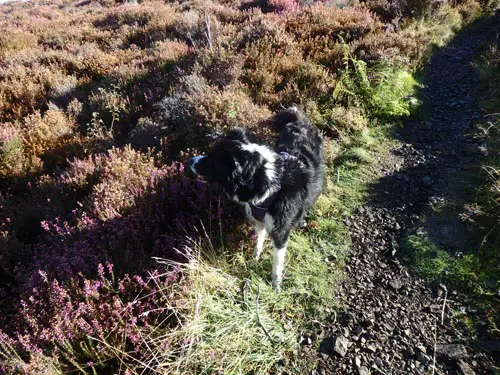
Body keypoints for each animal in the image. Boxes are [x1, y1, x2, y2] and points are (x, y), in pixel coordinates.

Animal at [188, 107, 324, 290]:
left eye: (212, 162)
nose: (190, 160)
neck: (270, 183)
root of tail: (299, 120)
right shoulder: (258, 220)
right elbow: (258, 241)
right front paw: (254, 260)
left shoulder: (280, 233)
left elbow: (277, 264)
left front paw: (276, 286)